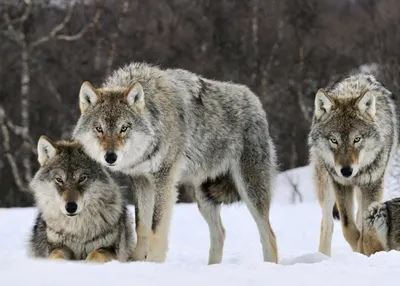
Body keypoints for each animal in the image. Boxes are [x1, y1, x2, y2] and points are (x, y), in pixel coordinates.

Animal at [28, 136, 136, 264]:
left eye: (82, 178)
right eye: (59, 179)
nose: (70, 207)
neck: (77, 230)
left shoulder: (111, 249)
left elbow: (96, 254)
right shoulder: (57, 246)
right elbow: (56, 255)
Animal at [72, 62, 278, 264]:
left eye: (124, 128)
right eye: (99, 129)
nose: (110, 157)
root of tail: (255, 100)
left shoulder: (164, 179)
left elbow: (156, 227)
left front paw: (153, 262)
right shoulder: (141, 180)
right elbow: (142, 226)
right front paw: (136, 261)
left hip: (249, 190)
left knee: (269, 235)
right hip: (204, 197)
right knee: (220, 233)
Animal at [310, 72, 396, 256]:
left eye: (357, 139)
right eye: (334, 140)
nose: (346, 171)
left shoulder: (373, 185)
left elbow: (365, 226)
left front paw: (365, 249)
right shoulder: (340, 184)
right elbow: (348, 226)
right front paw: (359, 247)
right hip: (326, 187)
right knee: (327, 223)